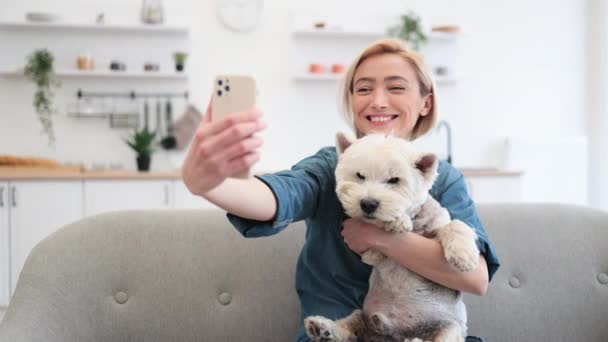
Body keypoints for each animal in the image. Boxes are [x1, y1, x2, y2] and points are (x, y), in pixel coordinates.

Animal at [306, 133, 482, 342]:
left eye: (394, 180)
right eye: (360, 176)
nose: (368, 204)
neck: (415, 225)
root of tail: (393, 336)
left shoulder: (436, 224)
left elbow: (454, 225)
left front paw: (464, 256)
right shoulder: (371, 252)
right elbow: (377, 245)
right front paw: (398, 221)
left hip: (449, 326)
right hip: (363, 316)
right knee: (350, 327)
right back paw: (322, 328)